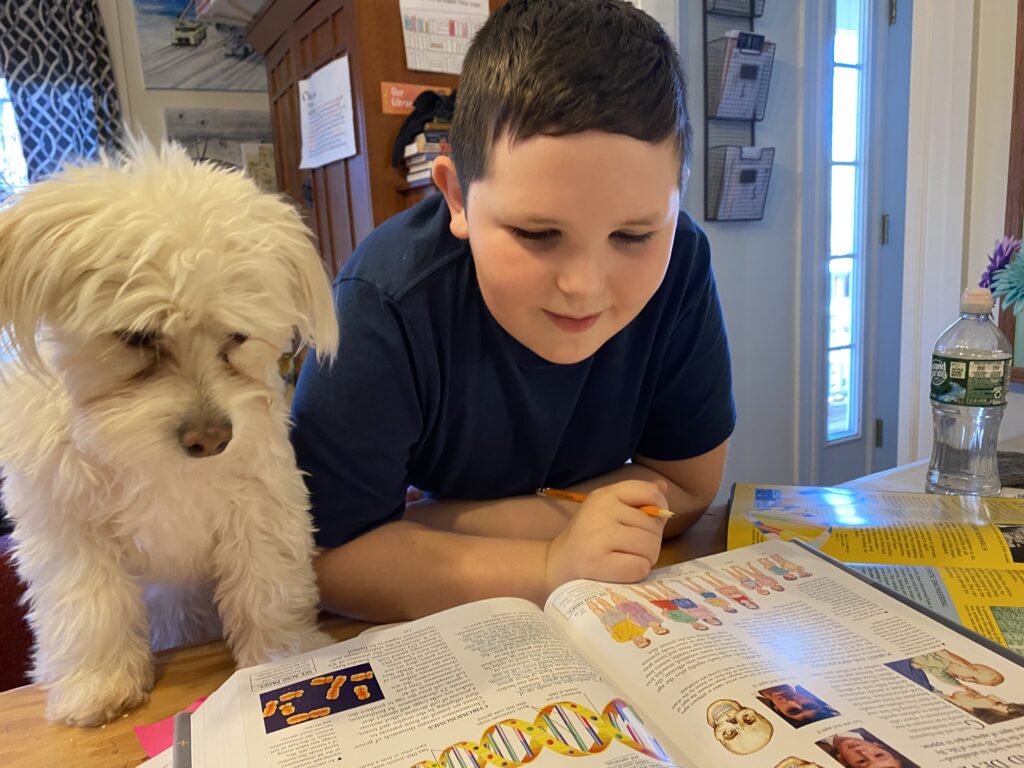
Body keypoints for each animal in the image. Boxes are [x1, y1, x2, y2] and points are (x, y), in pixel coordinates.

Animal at [0, 144, 342, 729]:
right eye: (136, 338)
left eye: (237, 336)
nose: (211, 439)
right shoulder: (66, 524)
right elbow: (88, 604)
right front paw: (98, 681)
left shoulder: (259, 496)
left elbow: (267, 580)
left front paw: (283, 656)